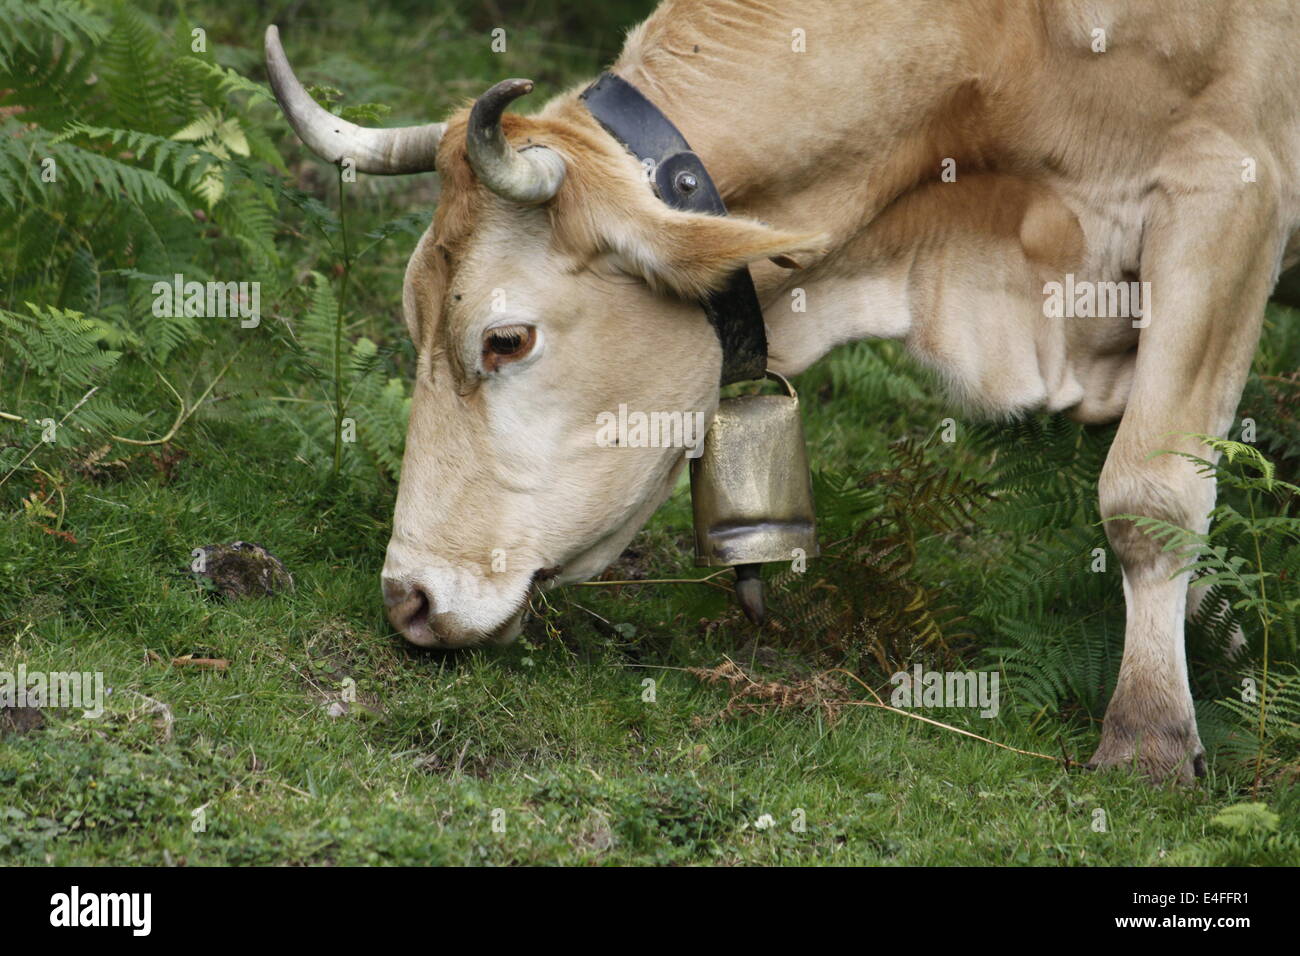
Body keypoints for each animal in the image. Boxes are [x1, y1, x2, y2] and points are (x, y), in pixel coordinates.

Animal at [265, 0, 1300, 783]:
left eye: (505, 339)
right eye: (412, 319)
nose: (406, 599)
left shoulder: (1229, 186)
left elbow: (1148, 494)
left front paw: (1153, 737)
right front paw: (1226, 638)